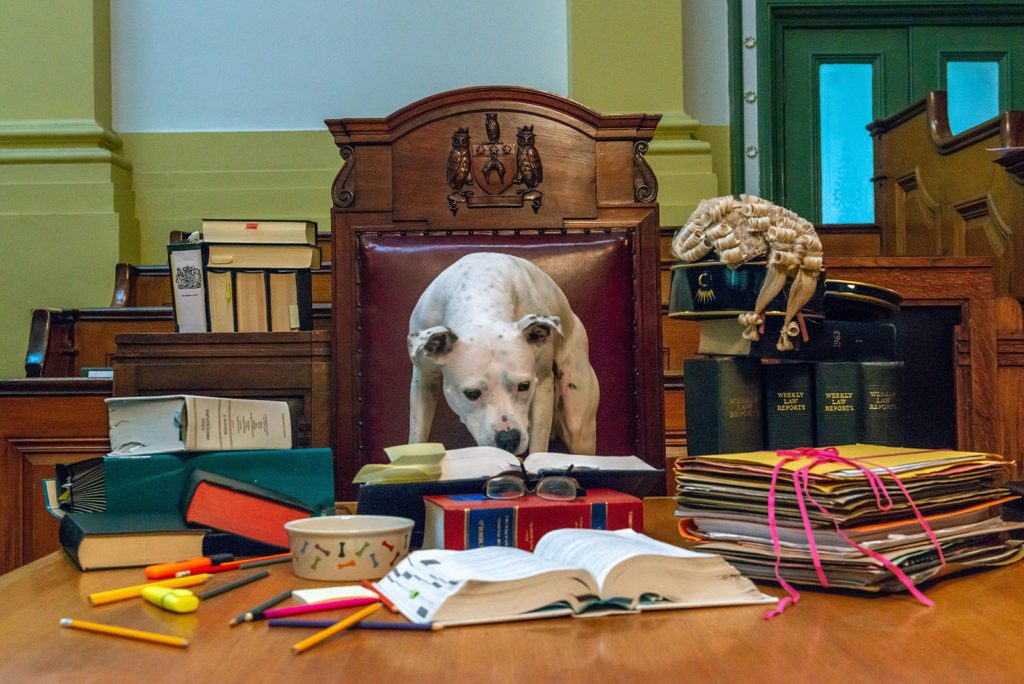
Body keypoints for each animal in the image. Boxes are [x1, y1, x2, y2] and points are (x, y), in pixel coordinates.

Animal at [407, 250, 598, 454]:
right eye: (472, 394)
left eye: (524, 386)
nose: (508, 438)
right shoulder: (424, 381)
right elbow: (417, 436)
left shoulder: (542, 383)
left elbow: (538, 447)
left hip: (578, 422)